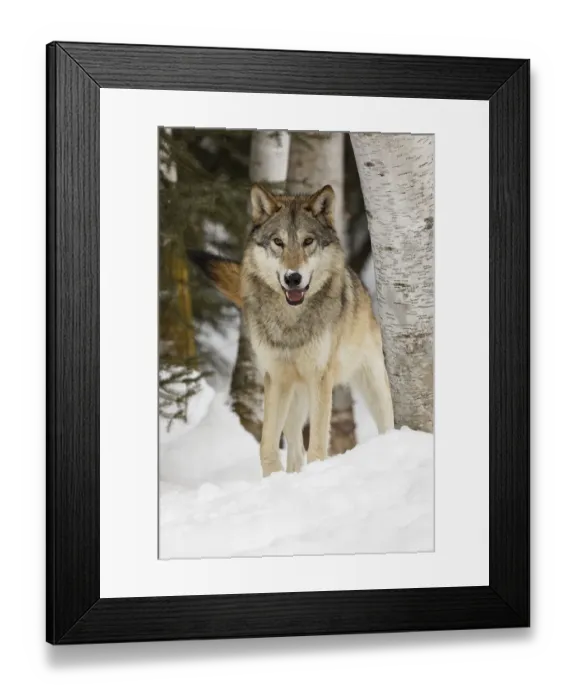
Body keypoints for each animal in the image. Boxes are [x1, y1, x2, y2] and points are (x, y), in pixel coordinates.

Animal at [189, 183, 394, 477]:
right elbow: (267, 446)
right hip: (294, 400)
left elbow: (318, 445)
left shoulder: (320, 379)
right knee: (296, 451)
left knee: (385, 422)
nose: (293, 278)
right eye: (278, 242)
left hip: (372, 384)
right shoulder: (275, 378)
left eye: (308, 242)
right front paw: (272, 478)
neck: (291, 322)